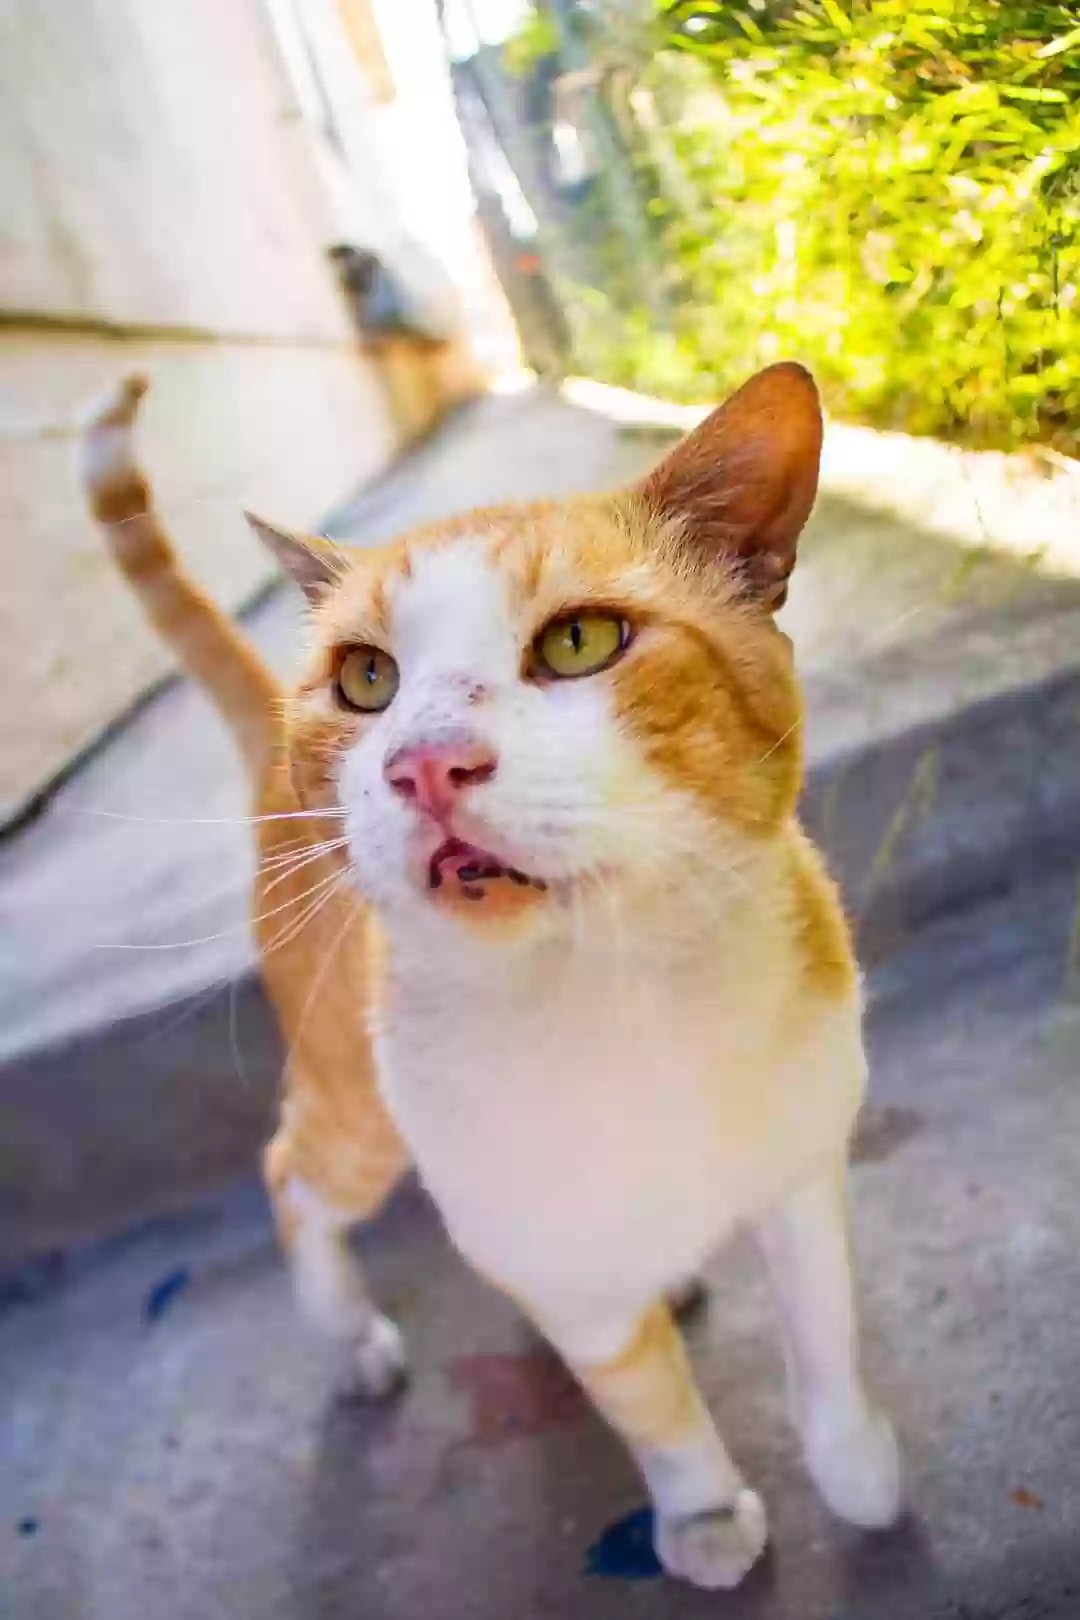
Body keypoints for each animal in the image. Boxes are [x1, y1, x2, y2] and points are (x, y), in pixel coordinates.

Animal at [84, 364, 900, 1581]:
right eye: (368, 677)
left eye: (580, 642)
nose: (425, 764)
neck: (622, 1005)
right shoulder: (560, 1265)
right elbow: (651, 1403)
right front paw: (705, 1516)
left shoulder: (801, 1174)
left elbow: (827, 1337)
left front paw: (857, 1470)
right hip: (358, 1114)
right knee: (290, 1175)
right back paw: (350, 1339)